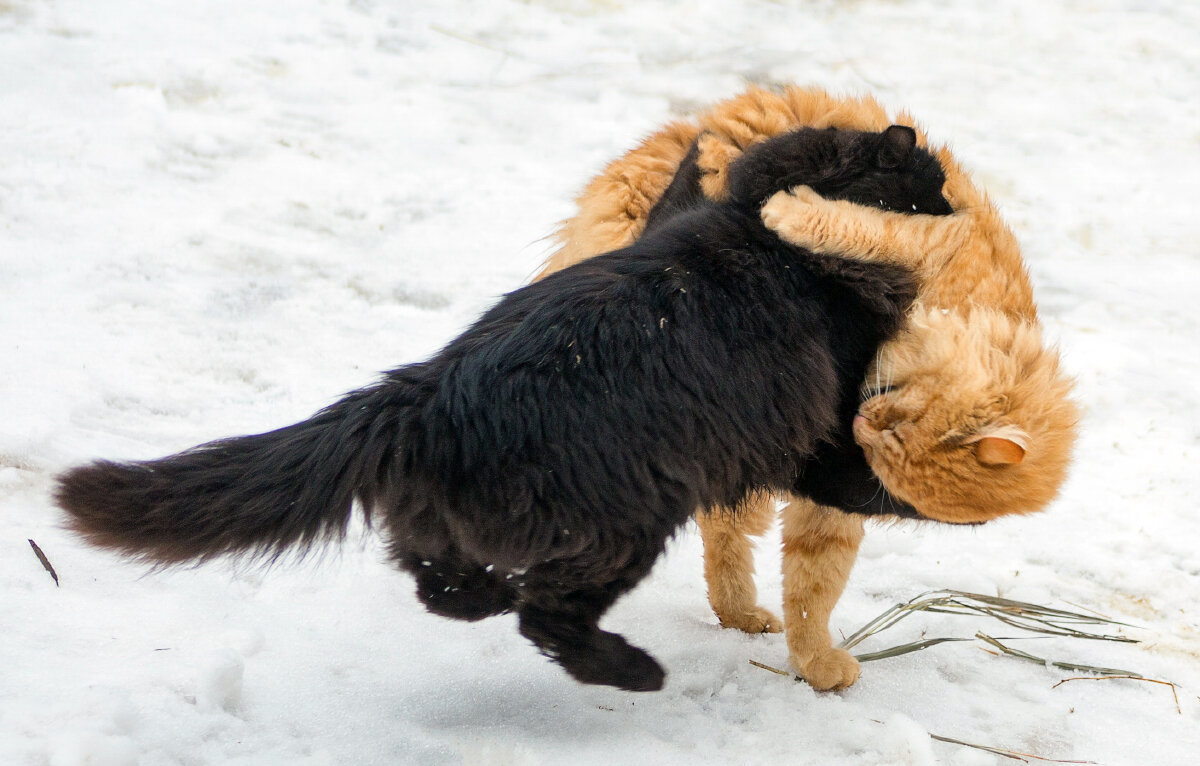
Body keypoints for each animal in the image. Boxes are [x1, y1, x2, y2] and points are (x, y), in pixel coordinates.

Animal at [58, 124, 945, 691]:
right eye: (934, 185)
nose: (957, 206)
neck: (771, 232)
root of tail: (422, 394)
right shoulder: (825, 432)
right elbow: (864, 479)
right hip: (625, 523)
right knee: (544, 618)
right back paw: (632, 671)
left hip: (476, 521)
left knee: (437, 578)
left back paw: (490, 596)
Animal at [535, 87, 1080, 691]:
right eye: (899, 415)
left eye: (888, 447)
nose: (861, 423)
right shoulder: (922, 242)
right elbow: (865, 228)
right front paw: (789, 209)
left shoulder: (831, 491)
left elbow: (812, 584)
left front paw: (814, 661)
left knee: (721, 523)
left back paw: (738, 612)